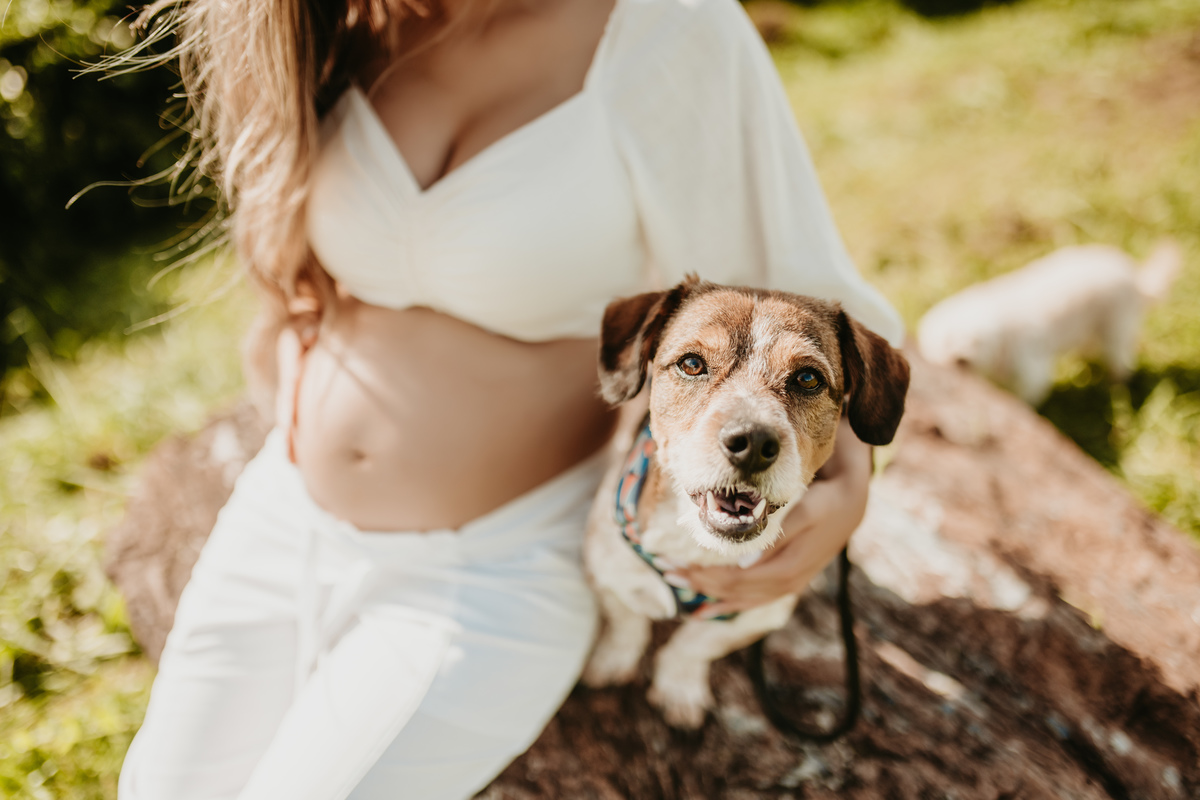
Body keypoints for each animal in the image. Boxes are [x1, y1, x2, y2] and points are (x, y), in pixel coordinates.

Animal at [581, 276, 910, 729]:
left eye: (807, 378)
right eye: (691, 364)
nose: (752, 443)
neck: (699, 548)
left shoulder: (759, 611)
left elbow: (693, 642)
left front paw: (678, 687)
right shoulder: (609, 567)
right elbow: (627, 621)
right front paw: (613, 660)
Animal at [917, 240, 1182, 405]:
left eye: (973, 341)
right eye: (941, 346)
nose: (958, 359)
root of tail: (1135, 277)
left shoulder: (1032, 374)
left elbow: (1024, 401)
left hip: (1115, 331)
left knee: (1121, 364)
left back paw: (1114, 385)